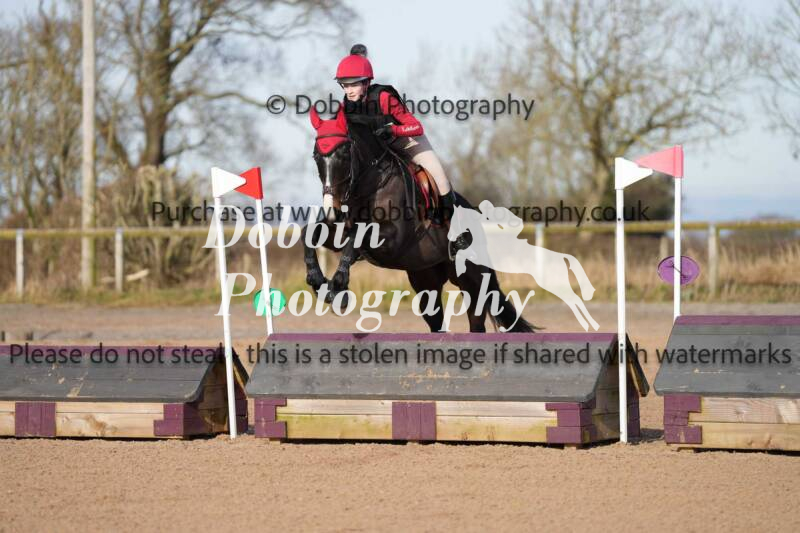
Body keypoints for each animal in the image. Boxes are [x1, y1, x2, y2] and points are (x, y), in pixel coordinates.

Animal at [301, 108, 535, 333]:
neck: (369, 187)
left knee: (476, 323)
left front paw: (338, 285)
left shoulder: (391, 241)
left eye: (344, 155)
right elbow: (309, 233)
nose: (333, 211)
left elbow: (357, 236)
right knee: (437, 324)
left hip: (471, 280)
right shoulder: (338, 233)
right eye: (316, 157)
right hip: (425, 280)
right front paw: (317, 279)